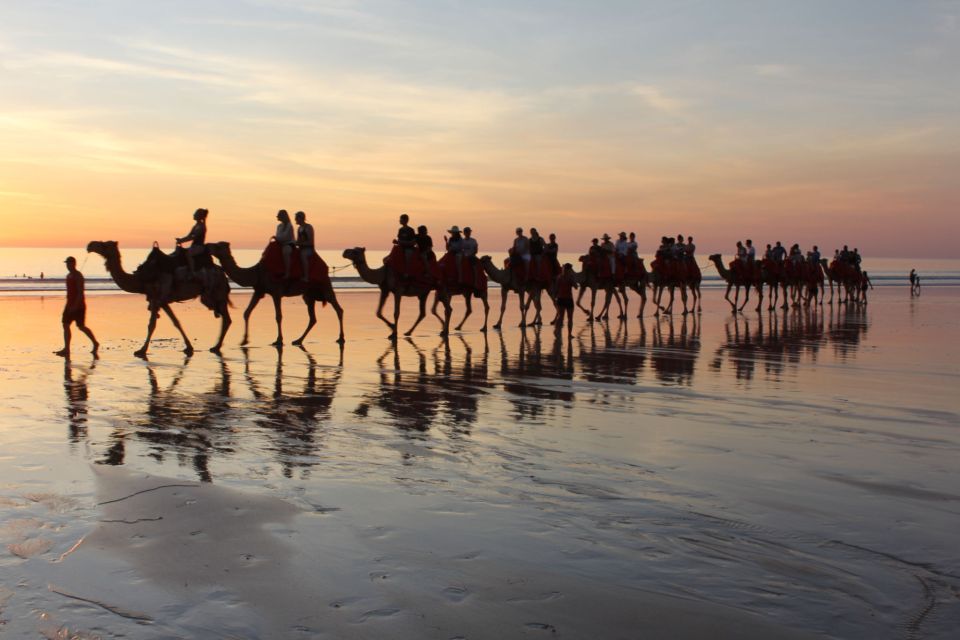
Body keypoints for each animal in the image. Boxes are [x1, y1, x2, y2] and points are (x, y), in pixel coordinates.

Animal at [89, 241, 233, 358]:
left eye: (104, 244)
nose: (90, 245)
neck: (140, 279)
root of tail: (222, 273)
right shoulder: (161, 300)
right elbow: (176, 322)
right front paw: (189, 347)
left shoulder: (157, 298)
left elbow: (152, 325)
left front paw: (141, 350)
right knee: (225, 318)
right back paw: (216, 346)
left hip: (216, 292)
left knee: (226, 319)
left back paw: (216, 347)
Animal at [206, 242, 344, 348]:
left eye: (218, 245)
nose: (207, 246)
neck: (256, 272)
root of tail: (325, 266)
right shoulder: (259, 291)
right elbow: (247, 312)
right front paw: (244, 340)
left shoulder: (276, 292)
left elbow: (278, 316)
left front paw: (278, 340)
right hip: (309, 294)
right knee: (313, 318)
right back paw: (298, 340)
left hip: (325, 285)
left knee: (338, 308)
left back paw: (341, 338)